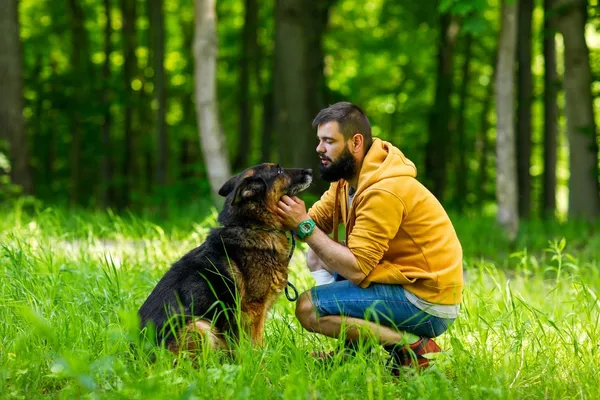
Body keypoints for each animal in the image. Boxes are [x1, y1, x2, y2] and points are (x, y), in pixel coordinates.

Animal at [137, 164, 314, 354]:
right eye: (279, 171)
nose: (310, 170)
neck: (253, 225)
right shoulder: (254, 309)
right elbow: (256, 344)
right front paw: (259, 360)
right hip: (200, 326)